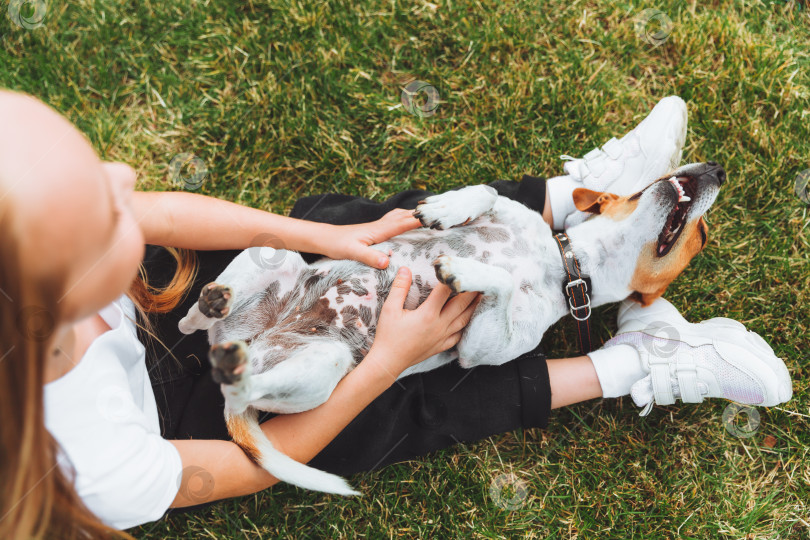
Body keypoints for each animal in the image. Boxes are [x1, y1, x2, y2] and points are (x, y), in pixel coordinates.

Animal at [178, 159, 724, 494]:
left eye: (699, 235)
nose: (718, 168)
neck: (567, 263)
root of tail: (258, 341)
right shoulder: (506, 210)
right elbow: (484, 191)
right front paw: (444, 208)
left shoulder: (483, 345)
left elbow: (495, 286)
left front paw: (465, 272)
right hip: (271, 255)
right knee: (190, 326)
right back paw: (213, 302)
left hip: (322, 362)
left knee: (228, 370)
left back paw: (225, 339)